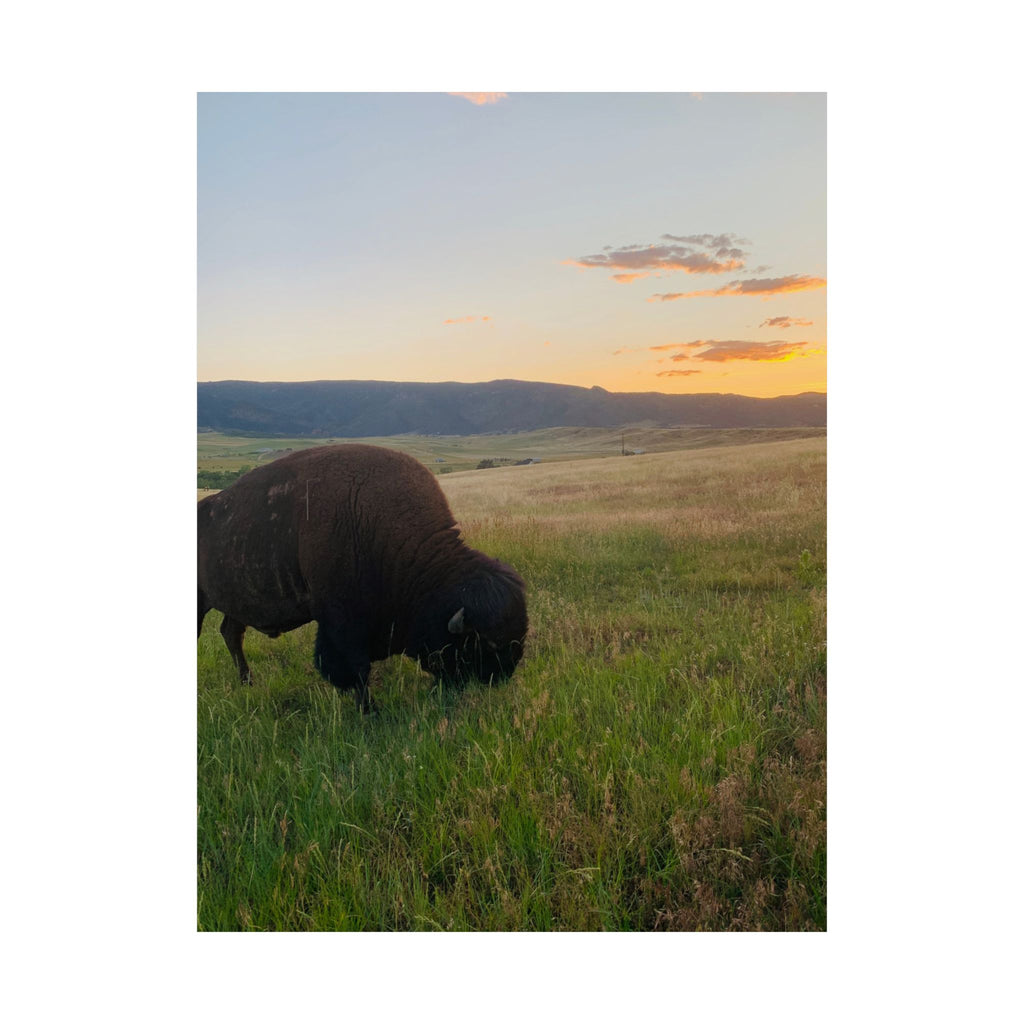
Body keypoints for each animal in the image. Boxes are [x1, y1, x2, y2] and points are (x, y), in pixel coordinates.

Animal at [197, 444, 528, 712]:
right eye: (486, 645)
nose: (499, 679)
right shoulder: (342, 623)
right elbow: (355, 668)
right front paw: (370, 711)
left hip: (236, 602)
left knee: (231, 633)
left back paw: (248, 683)